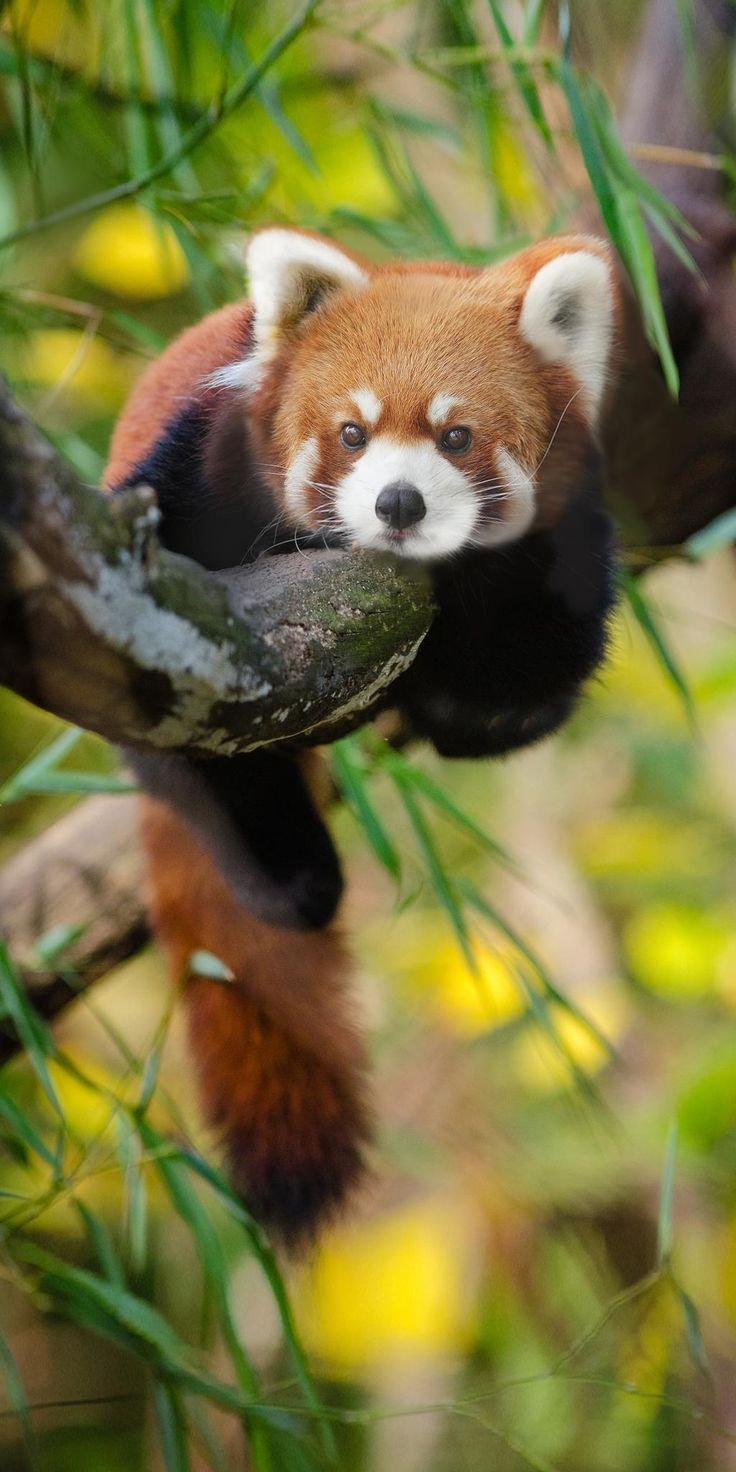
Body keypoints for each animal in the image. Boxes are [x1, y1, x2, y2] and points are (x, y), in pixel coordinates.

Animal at [103, 226, 621, 1242]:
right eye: (352, 434)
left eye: (456, 436)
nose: (399, 505)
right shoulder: (193, 476)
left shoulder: (563, 553)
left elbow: (522, 689)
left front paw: (460, 697)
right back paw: (292, 874)